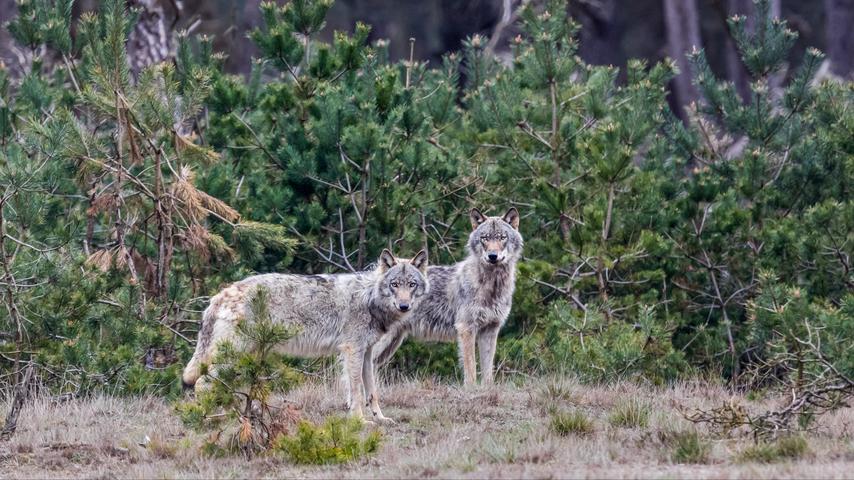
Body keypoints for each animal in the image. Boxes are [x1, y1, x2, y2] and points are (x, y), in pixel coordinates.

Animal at [185, 249, 432, 422]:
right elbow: (357, 391)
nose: (404, 306)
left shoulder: (367, 353)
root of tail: (219, 295)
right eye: (394, 284)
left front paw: (380, 418)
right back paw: (211, 418)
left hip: (246, 356)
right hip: (234, 355)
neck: (369, 297)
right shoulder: (352, 350)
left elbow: (372, 392)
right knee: (202, 383)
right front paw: (360, 421)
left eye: (411, 284)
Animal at [372, 208, 520, 384]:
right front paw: (471, 390)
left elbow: (487, 372)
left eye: (502, 237)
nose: (492, 256)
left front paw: (487, 389)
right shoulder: (466, 329)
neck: (492, 286)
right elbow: (471, 369)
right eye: (485, 238)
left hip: (391, 344)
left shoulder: (490, 330)